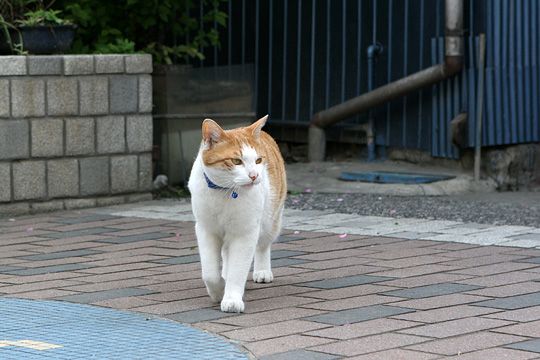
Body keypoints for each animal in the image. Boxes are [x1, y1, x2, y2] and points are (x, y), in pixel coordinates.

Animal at [188, 116, 286, 312]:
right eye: (236, 161)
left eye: (258, 160)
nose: (254, 175)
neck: (224, 192)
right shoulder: (206, 230)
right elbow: (210, 273)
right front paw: (218, 291)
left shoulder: (244, 233)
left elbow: (238, 269)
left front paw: (231, 299)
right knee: (226, 254)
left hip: (270, 220)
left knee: (263, 245)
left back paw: (262, 271)